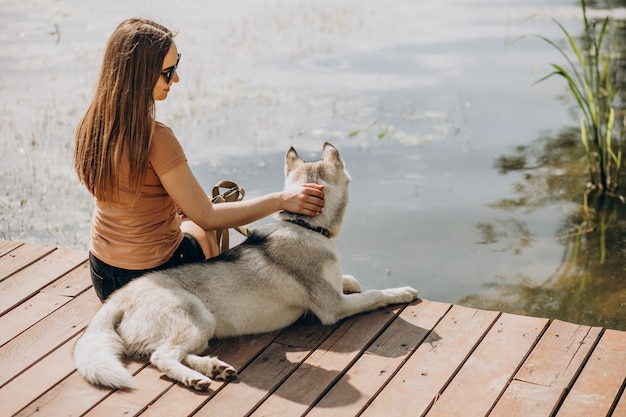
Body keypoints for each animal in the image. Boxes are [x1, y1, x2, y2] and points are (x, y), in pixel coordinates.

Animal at [73, 142, 416, 390]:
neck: (303, 226)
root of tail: (120, 298)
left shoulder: (335, 289)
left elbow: (352, 280)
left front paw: (354, 280)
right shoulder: (333, 307)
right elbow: (374, 294)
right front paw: (401, 291)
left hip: (200, 328)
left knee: (172, 354)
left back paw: (214, 367)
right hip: (197, 317)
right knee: (162, 357)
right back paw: (195, 378)